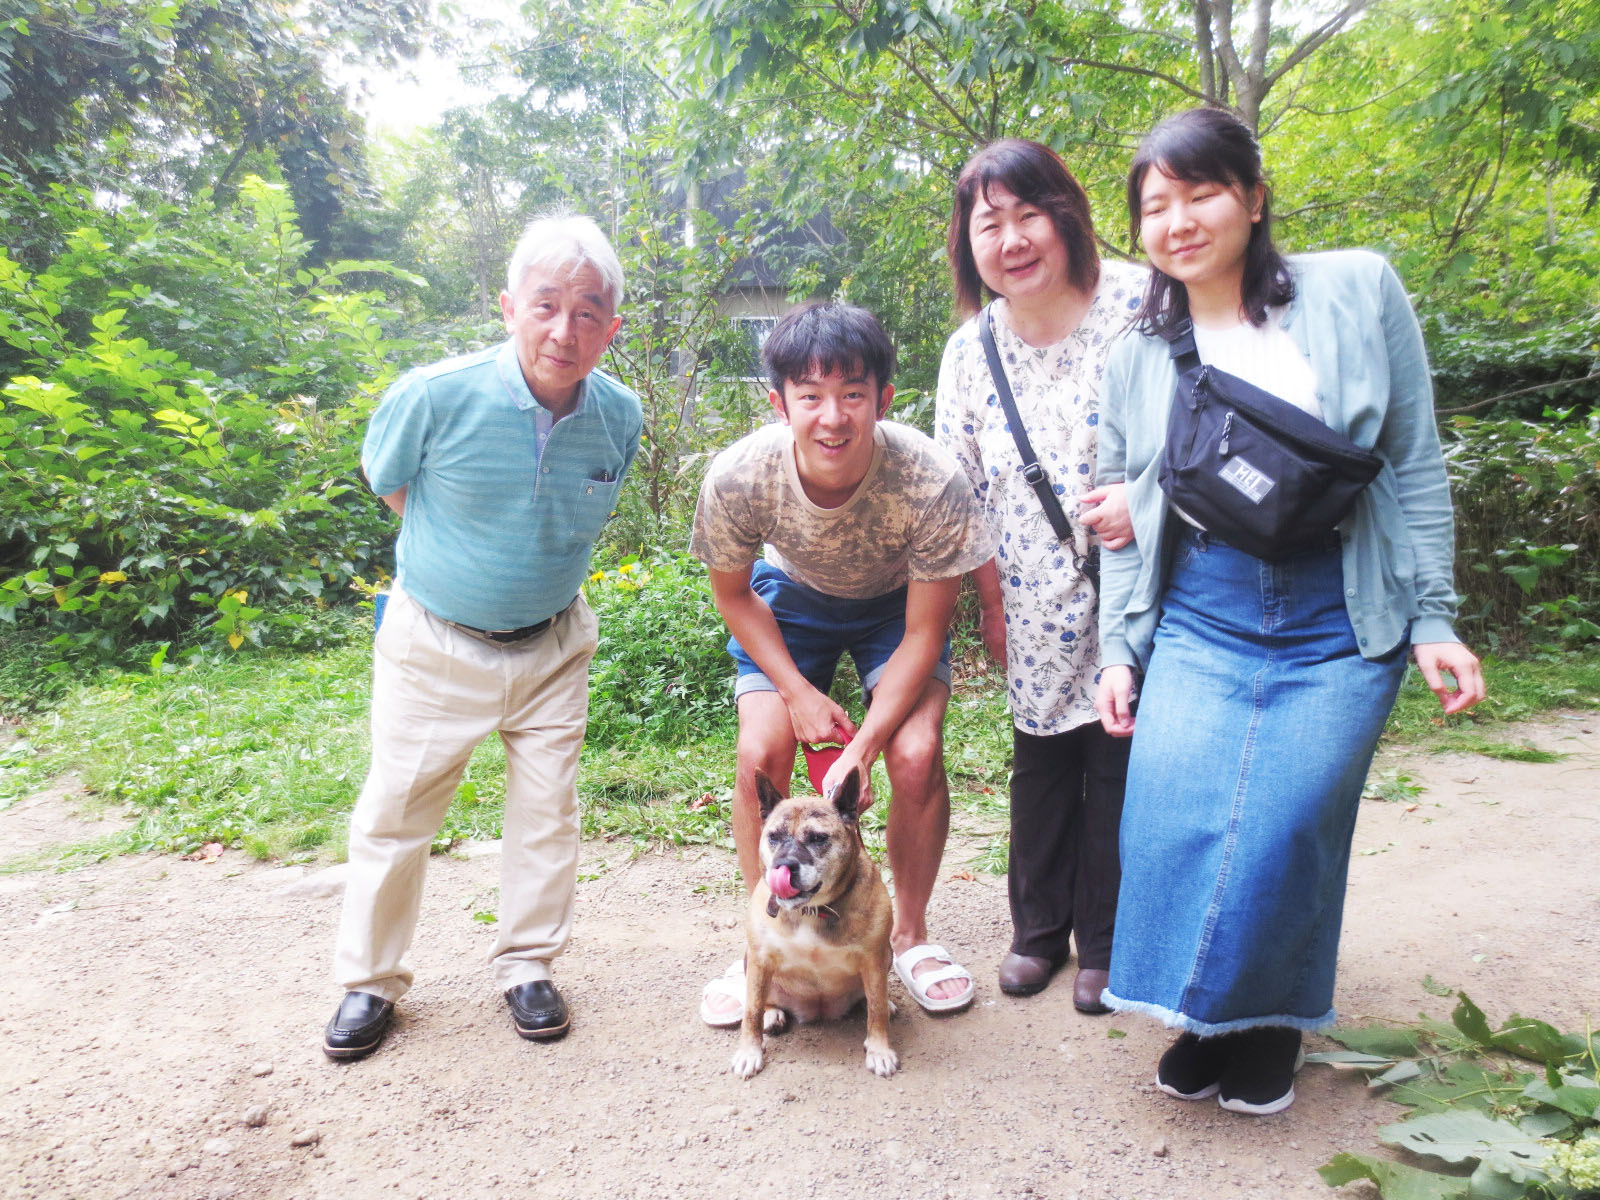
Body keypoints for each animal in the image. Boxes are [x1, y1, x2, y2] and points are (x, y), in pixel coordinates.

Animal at [729, 774, 896, 1088]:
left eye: (818, 838)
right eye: (774, 836)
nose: (783, 866)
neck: (811, 910)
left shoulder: (874, 959)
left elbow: (877, 1009)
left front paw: (880, 1049)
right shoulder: (759, 959)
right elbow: (752, 1009)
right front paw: (749, 1051)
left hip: (887, 956)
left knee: (872, 999)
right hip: (751, 963)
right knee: (764, 999)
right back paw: (773, 1013)